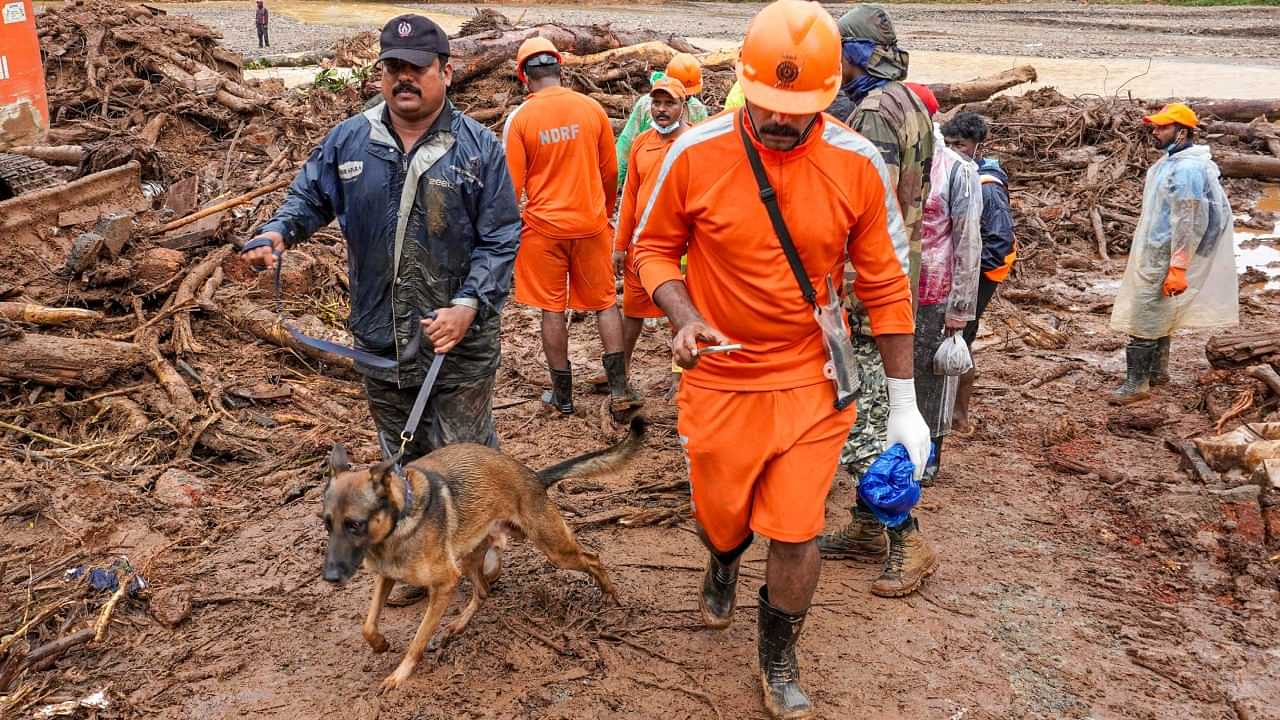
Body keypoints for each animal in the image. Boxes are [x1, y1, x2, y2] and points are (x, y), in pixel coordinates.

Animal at [320, 415, 640, 691]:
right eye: (326, 523)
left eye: (355, 524)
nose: (329, 578)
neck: (400, 521)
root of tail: (532, 476)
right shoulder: (386, 576)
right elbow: (367, 624)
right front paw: (380, 644)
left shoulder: (445, 583)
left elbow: (418, 639)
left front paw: (400, 674)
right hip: (470, 557)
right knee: (484, 590)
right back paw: (457, 625)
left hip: (555, 550)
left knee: (593, 558)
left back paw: (611, 596)